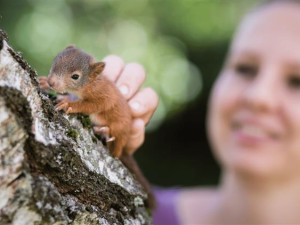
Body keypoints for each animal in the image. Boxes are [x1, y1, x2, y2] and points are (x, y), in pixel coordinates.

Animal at [39, 46, 156, 209]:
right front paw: (44, 82)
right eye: (55, 61)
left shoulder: (103, 95)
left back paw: (106, 132)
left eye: (75, 76)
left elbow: (93, 105)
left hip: (119, 130)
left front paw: (69, 103)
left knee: (115, 150)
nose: (51, 82)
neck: (90, 83)